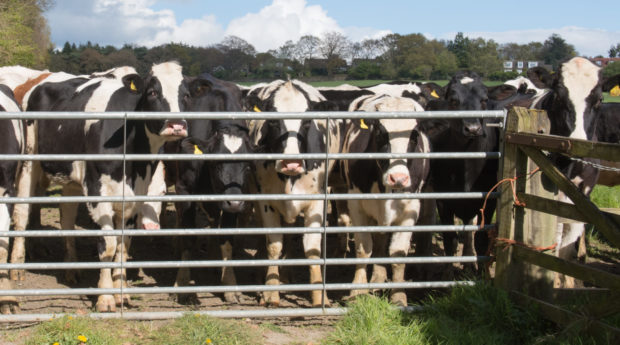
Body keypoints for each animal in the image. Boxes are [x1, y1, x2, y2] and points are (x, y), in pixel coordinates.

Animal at [163, 73, 253, 304]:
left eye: (248, 165)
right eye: (216, 163)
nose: (235, 202)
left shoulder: (232, 200)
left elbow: (226, 238)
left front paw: (229, 283)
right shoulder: (184, 189)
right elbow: (188, 235)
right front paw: (183, 284)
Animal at [243, 78, 340, 306]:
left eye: (307, 122)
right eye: (272, 122)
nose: (291, 163)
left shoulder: (317, 202)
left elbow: (312, 249)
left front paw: (319, 296)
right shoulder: (266, 202)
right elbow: (273, 245)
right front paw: (270, 292)